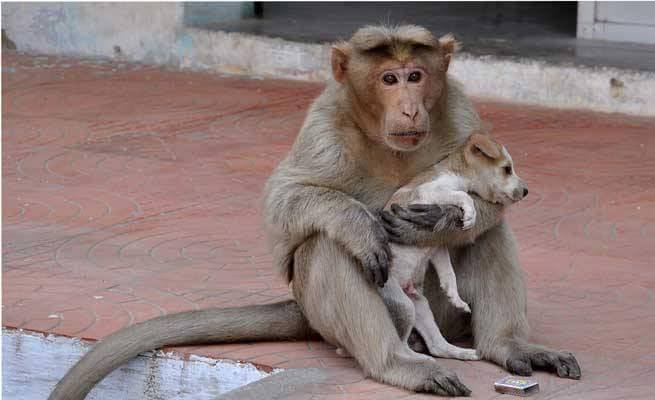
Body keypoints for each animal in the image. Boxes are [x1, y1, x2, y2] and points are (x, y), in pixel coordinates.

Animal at [49, 25, 580, 400]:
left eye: (417, 76)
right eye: (389, 78)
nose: (409, 108)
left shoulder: (462, 109)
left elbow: (479, 217)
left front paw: (447, 222)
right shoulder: (325, 123)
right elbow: (287, 201)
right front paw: (371, 224)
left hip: (439, 314)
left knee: (488, 238)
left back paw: (502, 346)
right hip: (346, 311)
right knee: (329, 247)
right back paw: (396, 362)